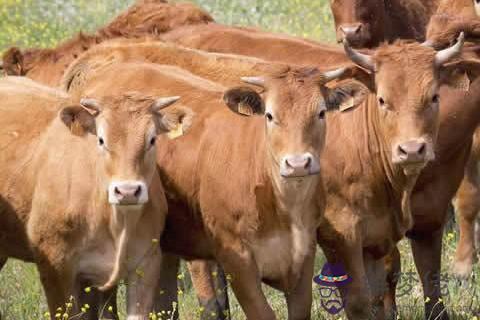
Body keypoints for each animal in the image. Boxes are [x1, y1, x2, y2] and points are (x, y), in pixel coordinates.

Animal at [62, 56, 364, 318]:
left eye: (321, 112)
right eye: (269, 115)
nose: (298, 163)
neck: (282, 203)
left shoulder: (303, 255)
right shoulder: (237, 259)